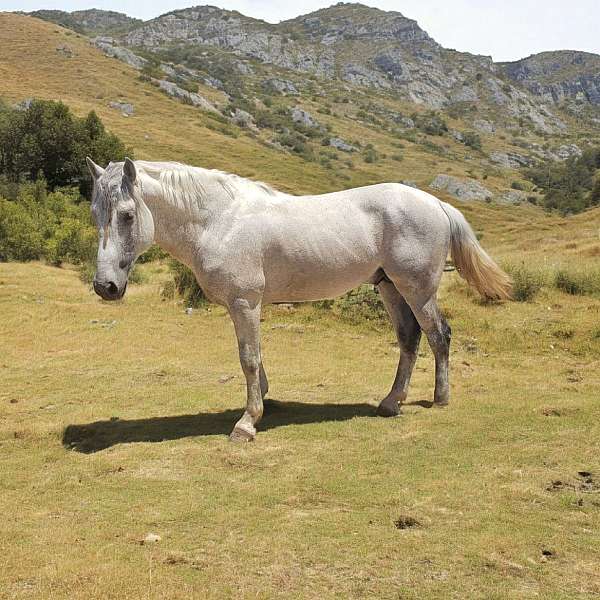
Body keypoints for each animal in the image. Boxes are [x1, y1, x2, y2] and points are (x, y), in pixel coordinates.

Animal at [86, 158, 512, 440]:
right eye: (95, 213)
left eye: (126, 215)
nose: (105, 287)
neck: (219, 221)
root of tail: (436, 203)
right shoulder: (246, 306)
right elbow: (255, 357)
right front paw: (262, 401)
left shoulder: (245, 303)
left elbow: (248, 358)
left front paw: (247, 423)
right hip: (390, 287)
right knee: (410, 338)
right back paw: (392, 402)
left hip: (417, 289)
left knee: (439, 334)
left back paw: (440, 399)